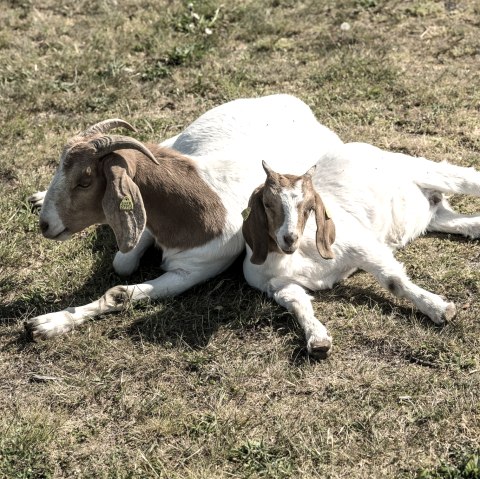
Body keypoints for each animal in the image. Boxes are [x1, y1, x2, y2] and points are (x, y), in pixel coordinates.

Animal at [26, 94, 344, 340]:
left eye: (84, 181)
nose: (46, 224)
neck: (201, 204)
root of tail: (296, 105)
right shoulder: (147, 224)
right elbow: (122, 263)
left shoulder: (191, 271)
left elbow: (119, 291)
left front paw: (47, 324)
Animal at [242, 144, 480, 358]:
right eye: (268, 204)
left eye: (309, 207)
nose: (290, 238)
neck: (293, 256)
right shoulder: (277, 285)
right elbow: (298, 305)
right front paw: (318, 340)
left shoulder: (361, 246)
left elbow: (394, 281)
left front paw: (439, 309)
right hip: (434, 217)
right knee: (465, 223)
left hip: (426, 171)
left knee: (465, 178)